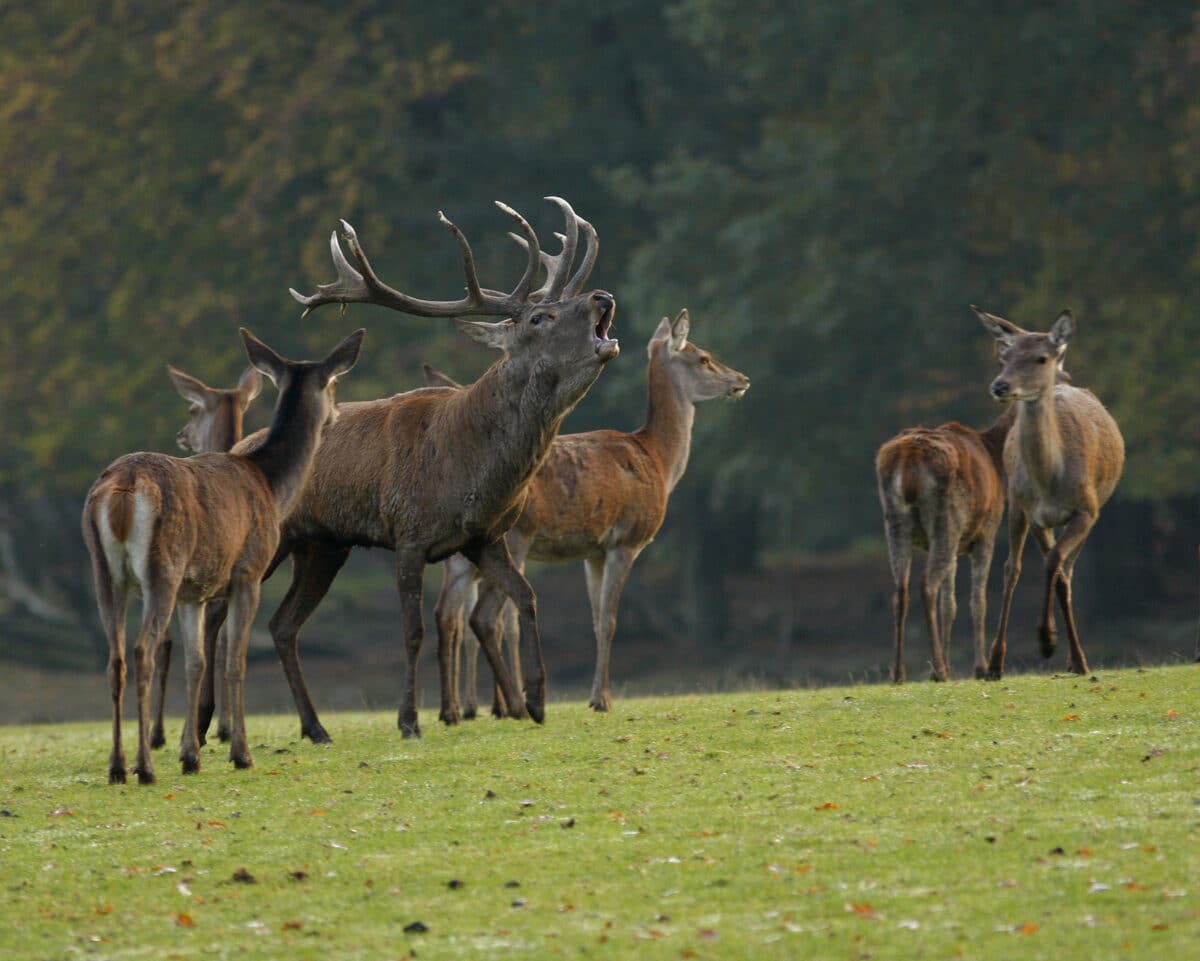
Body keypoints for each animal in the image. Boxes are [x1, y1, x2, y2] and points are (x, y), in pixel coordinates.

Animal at [262, 197, 617, 740]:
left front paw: (536, 701)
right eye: (540, 317)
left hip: (323, 546)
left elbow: (527, 596)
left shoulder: (484, 537)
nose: (603, 296)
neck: (468, 471)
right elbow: (413, 629)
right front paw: (409, 720)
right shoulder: (407, 533)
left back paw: (314, 728)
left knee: (281, 625)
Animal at [430, 308, 750, 722]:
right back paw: (510, 706)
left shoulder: (592, 551)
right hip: (513, 537)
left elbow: (596, 619)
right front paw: (602, 699)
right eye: (704, 358)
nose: (741, 379)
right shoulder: (626, 539)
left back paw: (454, 710)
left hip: (462, 555)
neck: (658, 462)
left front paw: (596, 696)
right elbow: (611, 621)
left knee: (447, 614)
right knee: (490, 618)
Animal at [975, 306, 1124, 678]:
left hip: (1095, 510)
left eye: (1040, 357)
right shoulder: (1028, 512)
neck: (1051, 481)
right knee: (1034, 570)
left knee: (1065, 571)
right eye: (1004, 357)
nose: (1000, 386)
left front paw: (1051, 642)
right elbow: (1020, 568)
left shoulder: (1087, 510)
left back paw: (1075, 659)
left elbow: (1056, 565)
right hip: (1028, 515)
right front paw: (1007, 657)